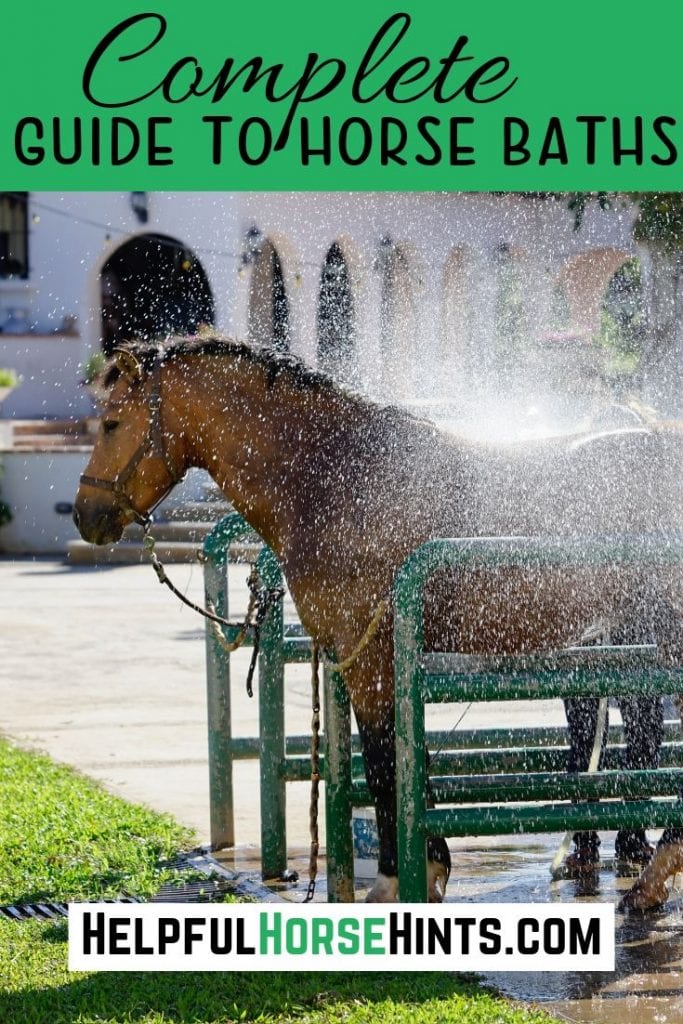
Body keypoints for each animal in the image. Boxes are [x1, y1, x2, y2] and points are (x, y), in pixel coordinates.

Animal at [72, 337, 683, 905]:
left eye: (112, 422)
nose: (85, 515)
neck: (335, 479)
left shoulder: (368, 656)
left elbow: (387, 759)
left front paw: (401, 880)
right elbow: (399, 762)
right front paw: (428, 869)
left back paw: (653, 875)